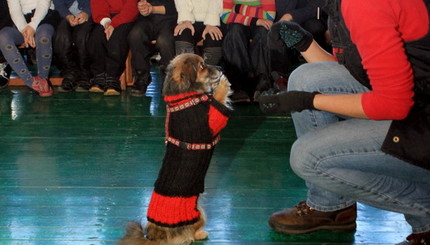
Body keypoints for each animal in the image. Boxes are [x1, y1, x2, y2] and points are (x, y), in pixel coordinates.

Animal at [117, 54, 232, 245]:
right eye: (202, 65)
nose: (221, 68)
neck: (184, 96)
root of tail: (155, 237)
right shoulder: (213, 121)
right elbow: (218, 99)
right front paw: (222, 84)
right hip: (199, 214)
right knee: (191, 235)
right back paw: (201, 234)